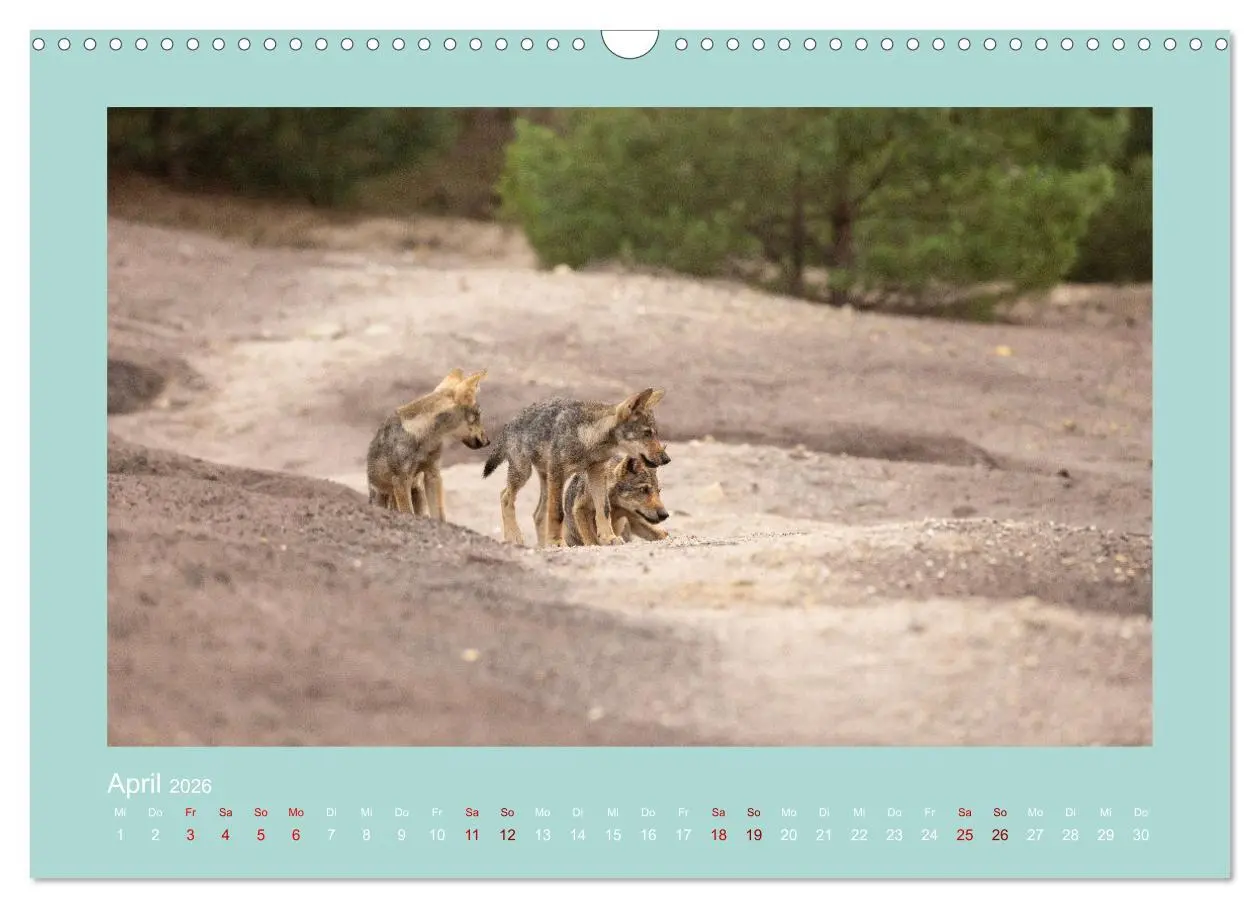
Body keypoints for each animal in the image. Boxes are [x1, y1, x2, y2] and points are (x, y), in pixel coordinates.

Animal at [366, 368, 488, 520]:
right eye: (478, 416)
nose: (487, 441)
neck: (424, 439)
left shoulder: (433, 473)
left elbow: (439, 516)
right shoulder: (401, 481)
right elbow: (408, 513)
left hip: (417, 492)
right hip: (383, 496)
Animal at [482, 388, 669, 547]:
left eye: (655, 433)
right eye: (647, 433)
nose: (666, 459)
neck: (587, 438)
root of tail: (510, 422)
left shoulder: (596, 472)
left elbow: (604, 509)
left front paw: (609, 537)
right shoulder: (558, 472)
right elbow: (558, 513)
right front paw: (557, 542)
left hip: (545, 481)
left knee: (538, 514)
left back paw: (543, 546)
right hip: (524, 473)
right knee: (505, 496)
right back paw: (514, 536)